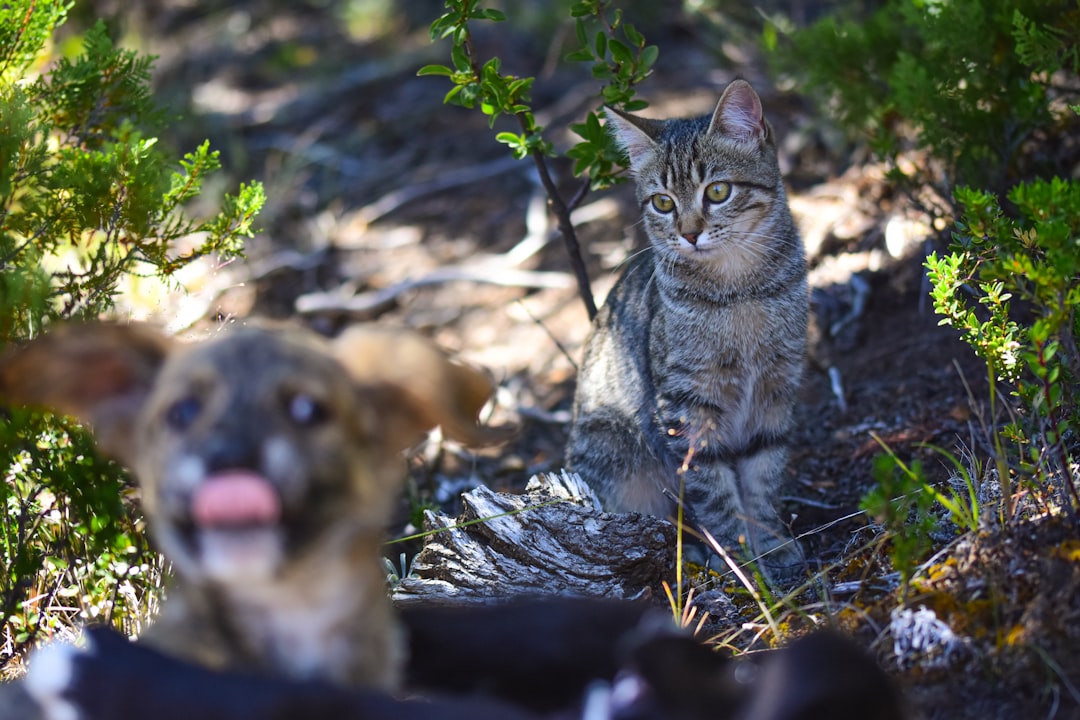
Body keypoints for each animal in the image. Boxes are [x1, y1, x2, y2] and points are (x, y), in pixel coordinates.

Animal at [570, 78, 807, 587]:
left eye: (717, 190)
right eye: (663, 202)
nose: (690, 233)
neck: (740, 291)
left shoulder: (778, 387)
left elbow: (764, 475)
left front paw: (771, 543)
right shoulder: (685, 406)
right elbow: (713, 491)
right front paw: (740, 557)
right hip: (614, 450)